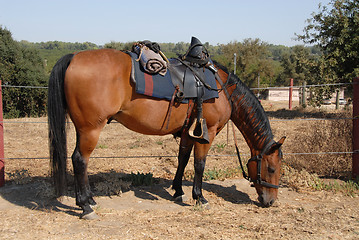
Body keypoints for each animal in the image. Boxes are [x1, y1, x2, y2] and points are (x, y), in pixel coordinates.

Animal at [47, 48, 286, 219]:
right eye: (272, 169)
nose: (271, 201)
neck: (221, 88)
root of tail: (74, 58)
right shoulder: (207, 133)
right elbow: (199, 164)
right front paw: (199, 197)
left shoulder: (189, 133)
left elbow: (182, 160)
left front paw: (178, 191)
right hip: (91, 129)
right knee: (79, 160)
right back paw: (85, 206)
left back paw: (89, 200)